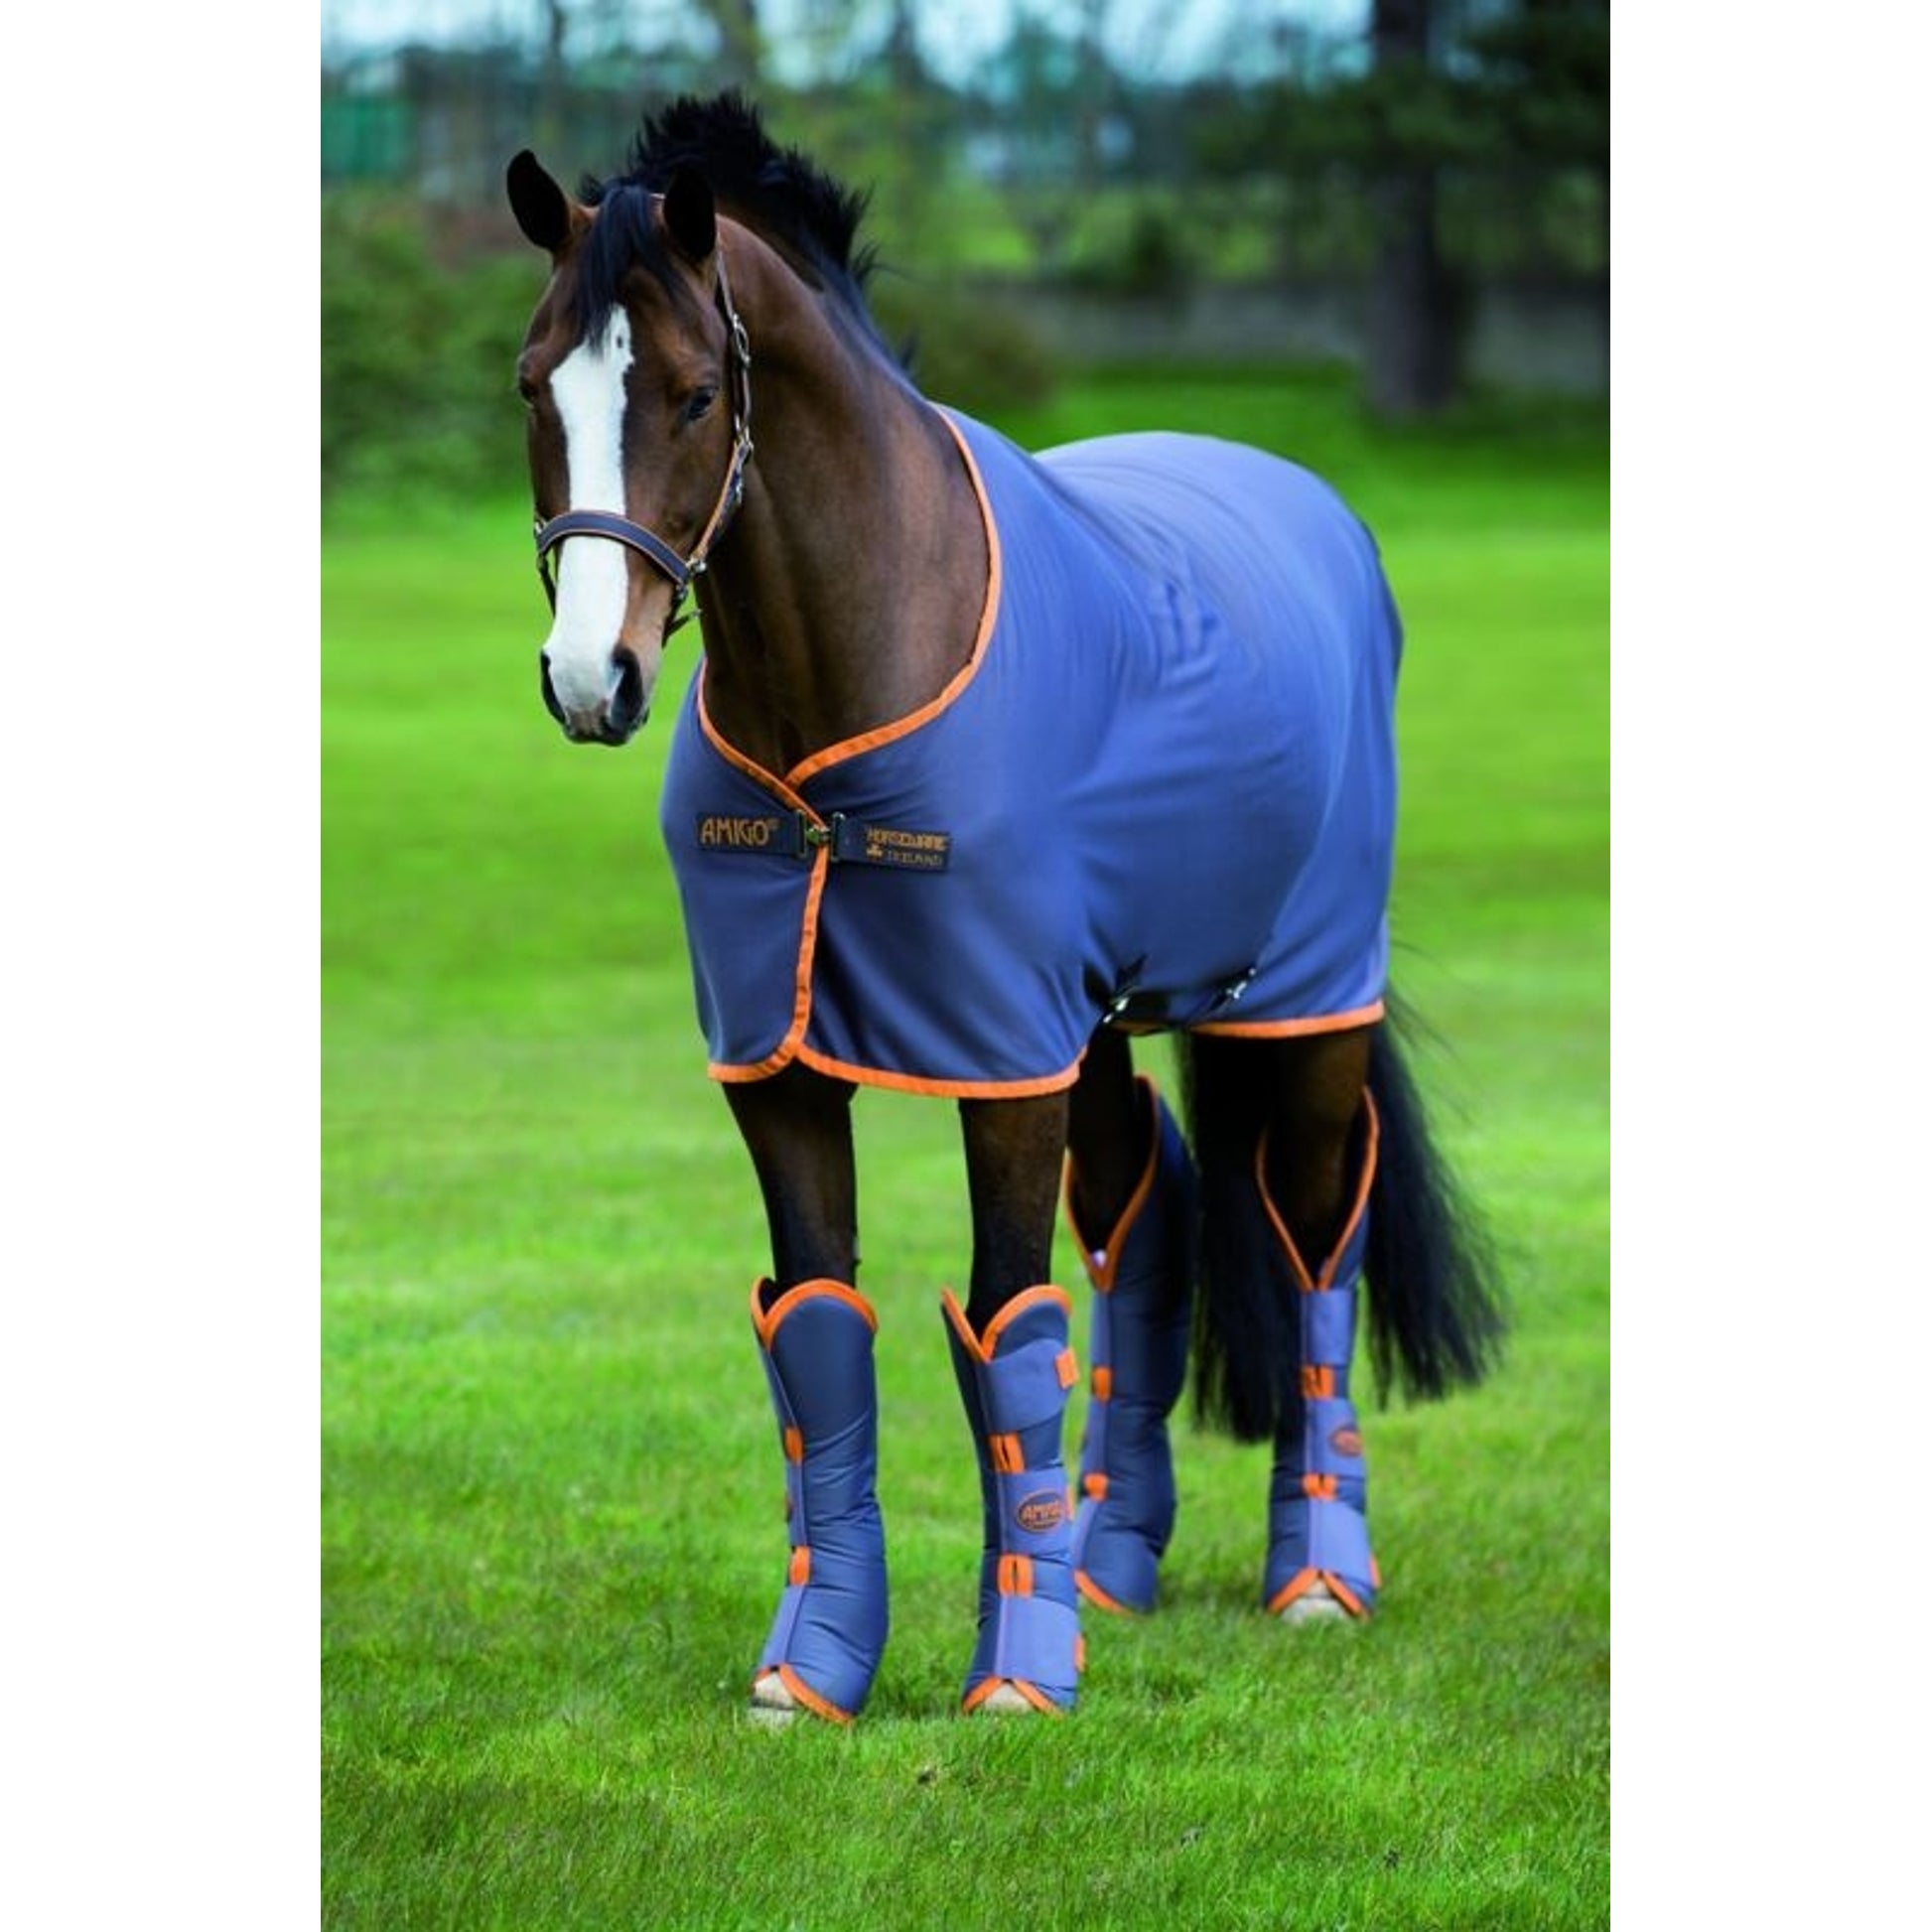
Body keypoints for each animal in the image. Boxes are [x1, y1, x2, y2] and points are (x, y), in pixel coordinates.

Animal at [504, 90, 1504, 1726]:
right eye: (536, 386)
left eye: (701, 394)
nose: (595, 679)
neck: (843, 722)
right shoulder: (783, 1064)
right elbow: (816, 1332)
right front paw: (814, 1669)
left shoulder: (998, 1063)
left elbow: (1006, 1332)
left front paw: (1018, 1674)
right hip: (1091, 1020)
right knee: (1148, 1210)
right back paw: (1111, 1558)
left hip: (1303, 1004)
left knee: (1309, 1240)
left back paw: (1314, 1573)